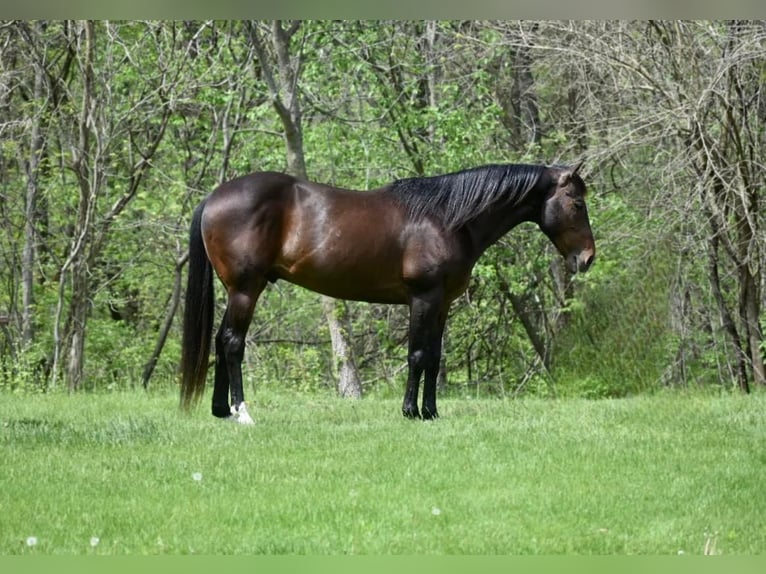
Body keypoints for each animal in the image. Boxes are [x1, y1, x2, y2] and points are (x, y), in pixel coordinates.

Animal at [180, 162, 592, 424]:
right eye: (577, 202)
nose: (587, 258)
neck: (446, 219)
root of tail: (214, 198)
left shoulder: (442, 304)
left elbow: (435, 358)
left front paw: (431, 412)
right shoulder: (423, 298)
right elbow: (418, 355)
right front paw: (411, 411)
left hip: (237, 291)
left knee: (220, 340)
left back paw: (222, 411)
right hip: (245, 290)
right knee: (233, 343)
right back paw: (243, 412)